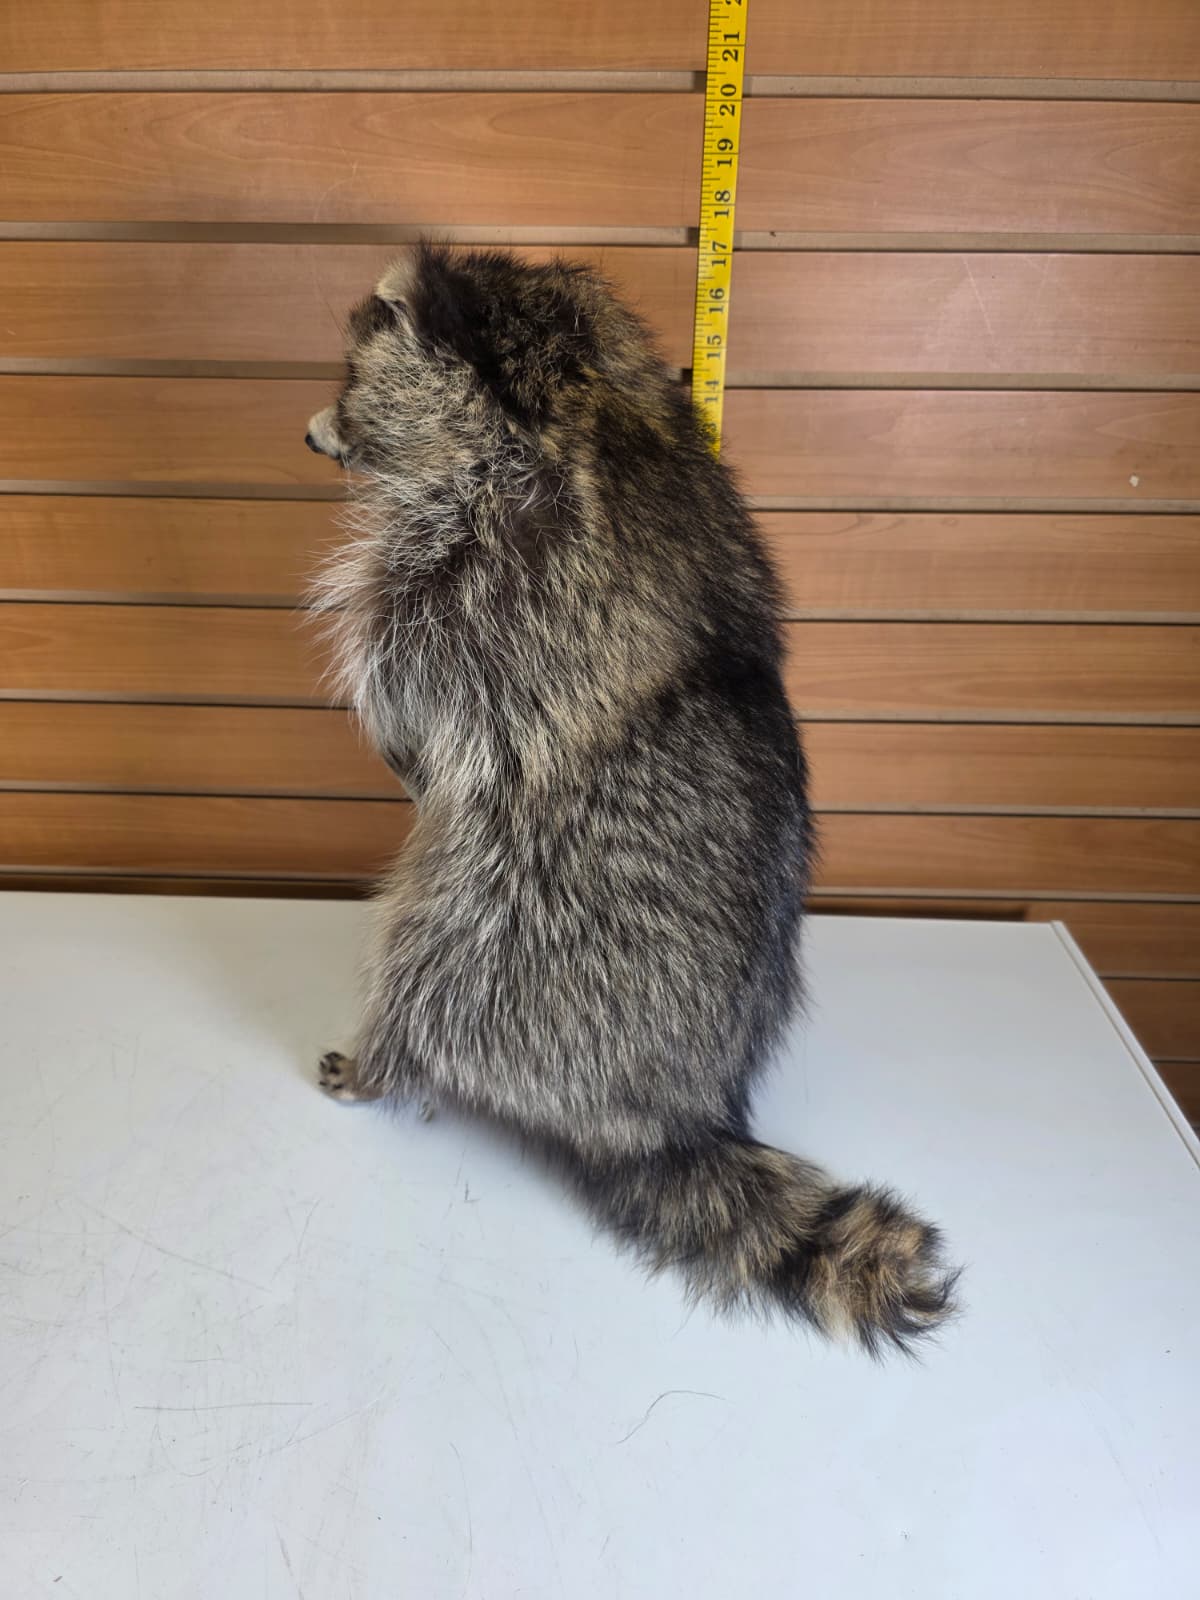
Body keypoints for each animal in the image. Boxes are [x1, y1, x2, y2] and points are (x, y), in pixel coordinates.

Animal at [305, 243, 958, 1356]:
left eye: (353, 377)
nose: (309, 431)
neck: (575, 383)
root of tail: (675, 1113)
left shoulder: (502, 569)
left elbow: (425, 681)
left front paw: (402, 749)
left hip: (505, 937)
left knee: (425, 963)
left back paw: (387, 1055)